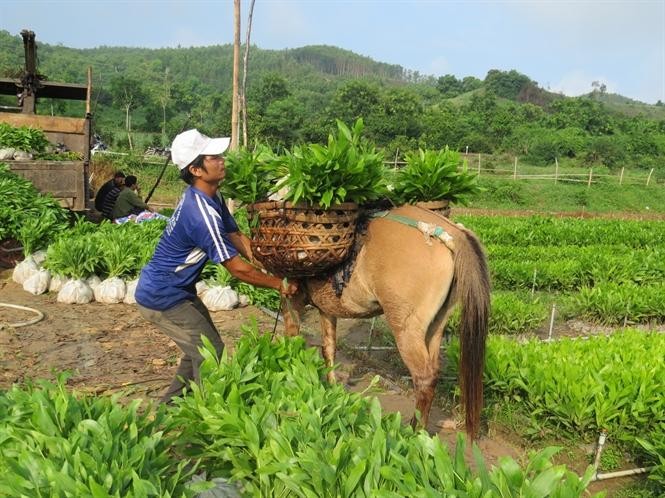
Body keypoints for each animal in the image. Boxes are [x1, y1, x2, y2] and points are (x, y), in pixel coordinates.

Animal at [278, 204, 490, 438]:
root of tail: (453, 232)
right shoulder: (326, 308)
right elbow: (328, 349)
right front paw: (332, 391)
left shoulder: (291, 297)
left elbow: (291, 341)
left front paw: (289, 376)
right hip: (437, 325)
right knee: (434, 370)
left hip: (406, 328)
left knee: (424, 377)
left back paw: (412, 434)